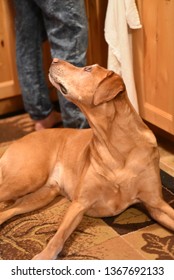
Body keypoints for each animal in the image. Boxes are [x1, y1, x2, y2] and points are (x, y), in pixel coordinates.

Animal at [0, 59, 174, 260]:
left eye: (88, 69)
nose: (54, 59)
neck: (116, 149)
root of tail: (19, 140)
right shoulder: (79, 203)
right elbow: (58, 236)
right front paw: (44, 256)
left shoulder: (156, 205)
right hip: (26, 178)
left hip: (41, 194)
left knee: (6, 211)